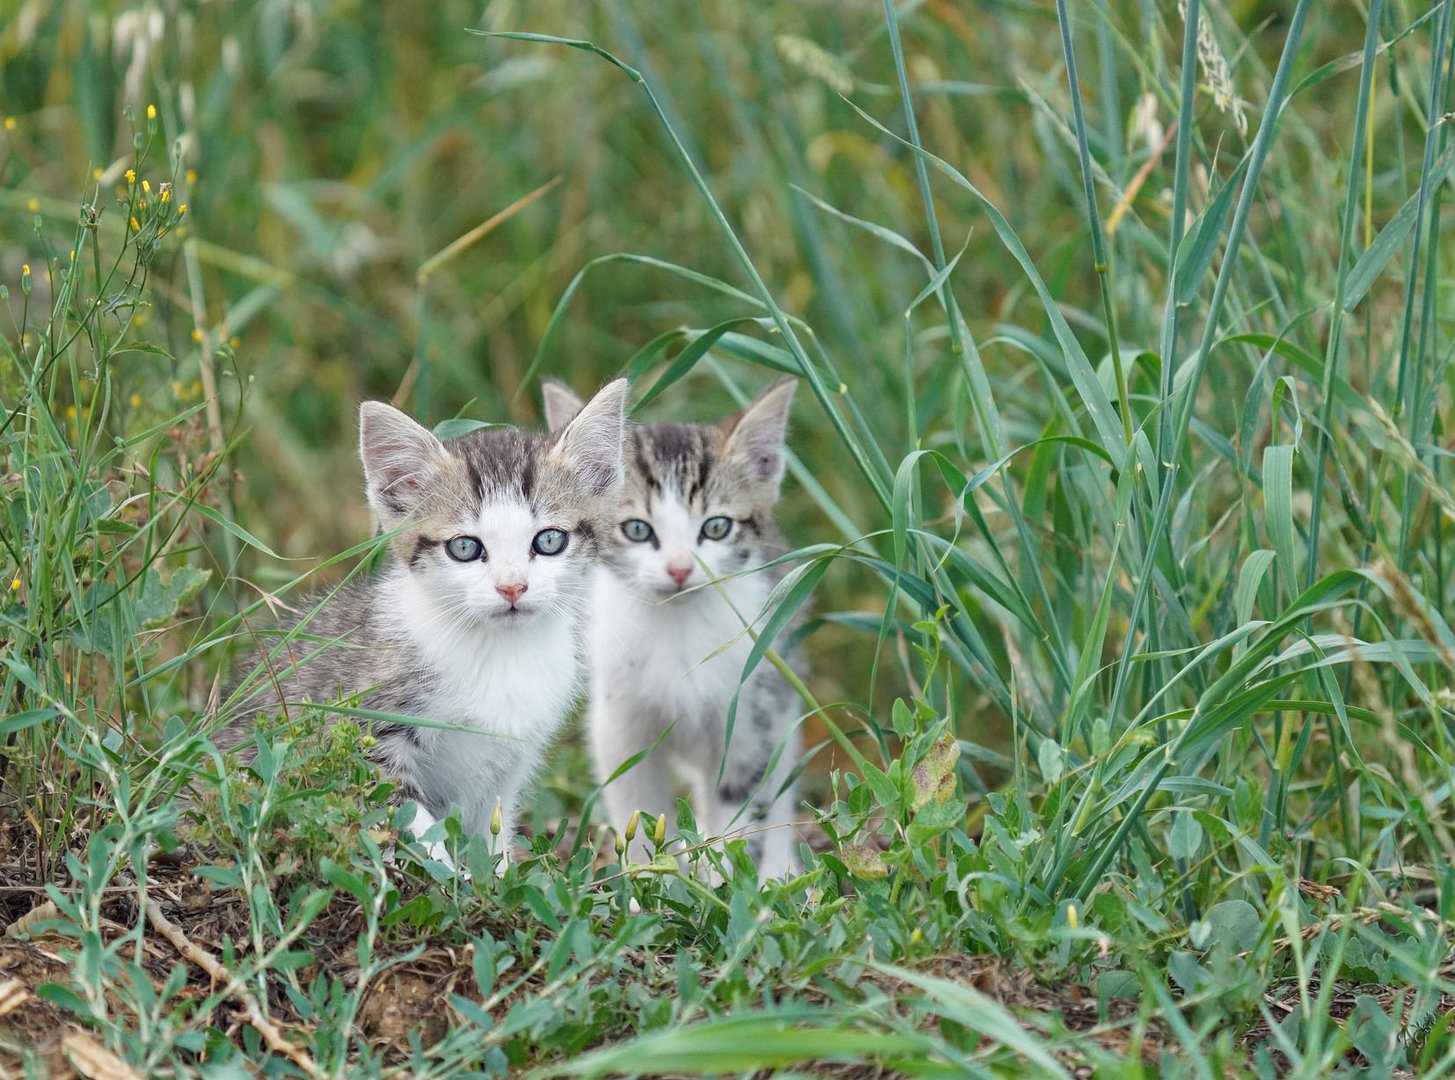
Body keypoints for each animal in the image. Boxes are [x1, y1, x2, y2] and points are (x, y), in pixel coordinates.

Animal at [229, 381, 628, 873]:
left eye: (550, 540)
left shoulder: (510, 758)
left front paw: (495, 875)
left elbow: (491, 829)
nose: (512, 587)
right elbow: (408, 816)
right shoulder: (364, 726)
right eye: (465, 547)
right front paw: (448, 872)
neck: (499, 651)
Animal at [544, 378, 803, 879]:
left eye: (716, 527)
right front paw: (644, 883)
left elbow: (739, 813)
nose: (681, 569)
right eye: (637, 530)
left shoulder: (749, 715)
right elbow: (638, 808)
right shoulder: (620, 722)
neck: (677, 629)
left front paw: (727, 887)